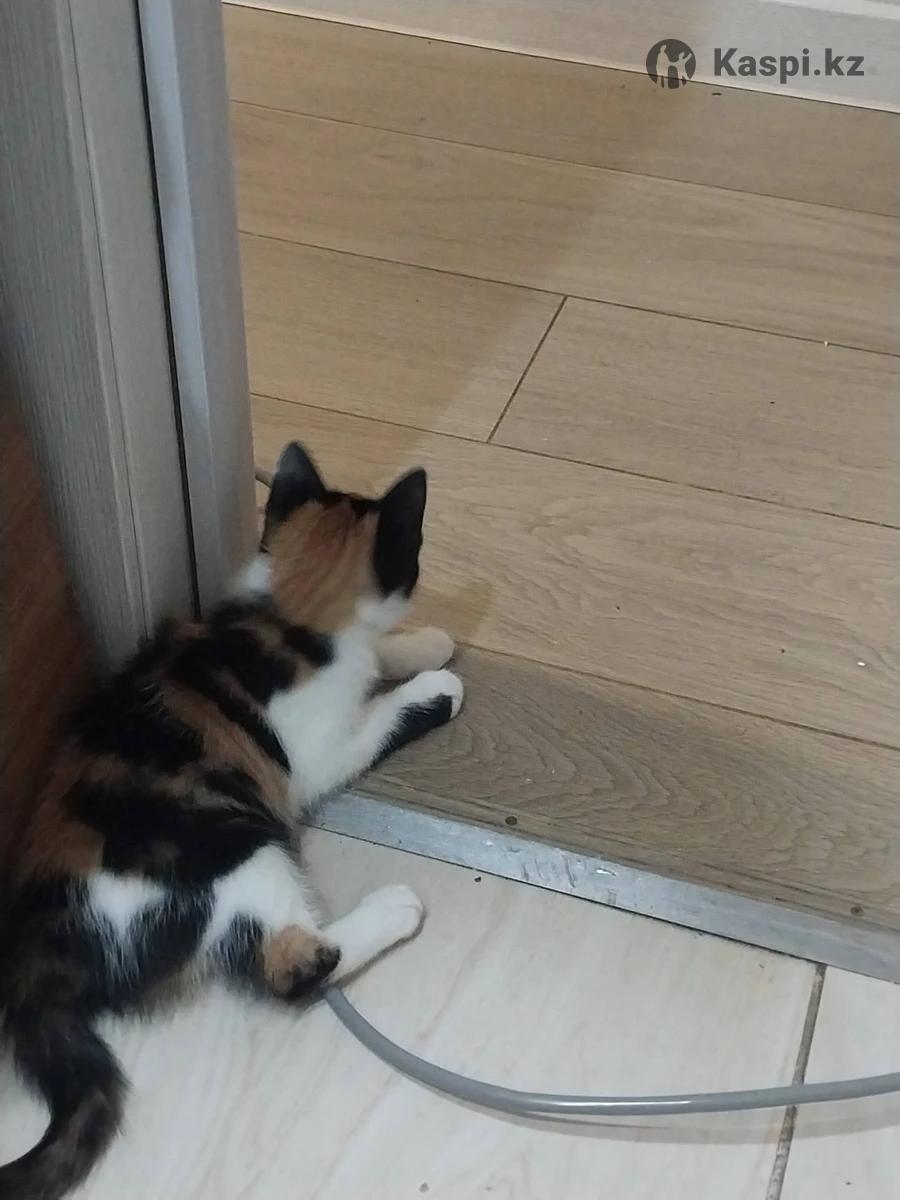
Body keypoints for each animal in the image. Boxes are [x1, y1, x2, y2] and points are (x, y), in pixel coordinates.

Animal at [0, 442, 463, 1200]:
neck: (290, 621)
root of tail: (40, 949)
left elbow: (378, 654)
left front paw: (422, 644)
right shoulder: (320, 751)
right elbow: (378, 714)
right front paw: (434, 684)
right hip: (237, 845)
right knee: (295, 969)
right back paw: (392, 910)